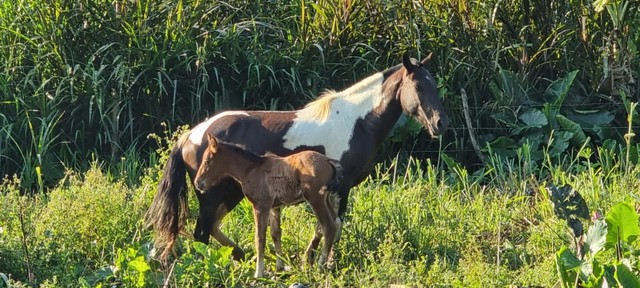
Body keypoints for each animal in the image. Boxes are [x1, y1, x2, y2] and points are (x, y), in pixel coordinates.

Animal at [146, 52, 450, 260]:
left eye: (434, 86)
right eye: (418, 87)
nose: (440, 123)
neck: (357, 122)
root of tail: (191, 135)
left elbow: (328, 225)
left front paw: (307, 260)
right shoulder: (339, 187)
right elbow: (330, 225)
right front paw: (316, 261)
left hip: (231, 191)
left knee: (212, 228)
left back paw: (243, 255)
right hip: (210, 192)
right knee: (202, 232)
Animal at [194, 132, 342, 276]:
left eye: (207, 162)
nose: (197, 183)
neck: (251, 169)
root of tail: (328, 160)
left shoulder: (260, 206)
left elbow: (260, 238)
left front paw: (259, 273)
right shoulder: (274, 207)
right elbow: (275, 234)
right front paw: (279, 267)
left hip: (315, 199)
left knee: (328, 226)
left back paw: (320, 266)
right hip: (326, 199)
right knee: (337, 222)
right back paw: (329, 263)